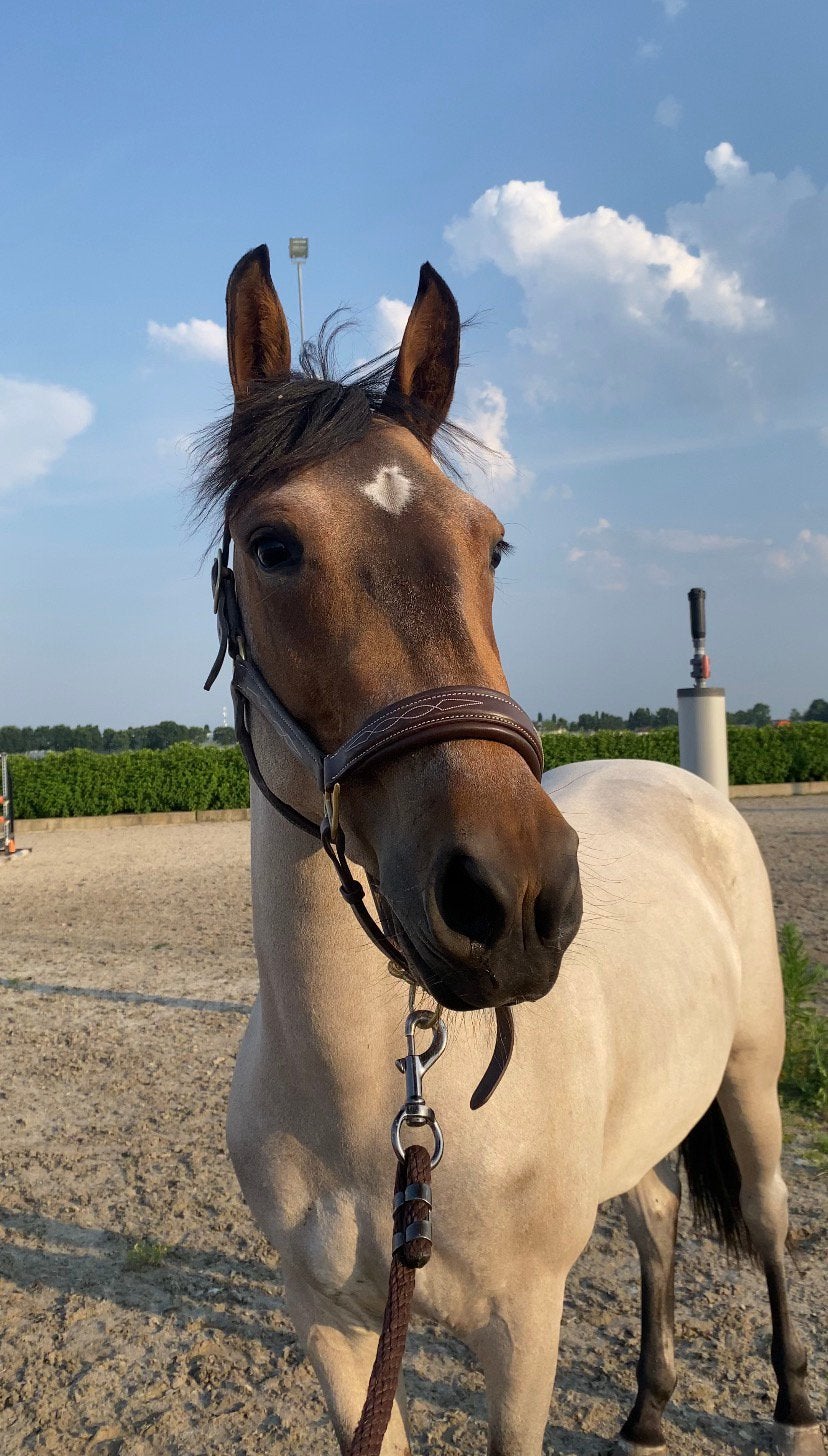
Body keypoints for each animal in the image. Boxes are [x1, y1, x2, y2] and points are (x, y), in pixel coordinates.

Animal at [197, 244, 823, 1455]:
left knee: (769, 1221)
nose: (514, 899)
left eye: (491, 543)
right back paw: (647, 1407)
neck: (381, 1120)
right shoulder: (335, 1329)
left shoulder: (521, 1329)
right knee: (660, 1217)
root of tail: (680, 780)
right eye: (273, 545)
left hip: (750, 1078)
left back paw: (795, 1406)